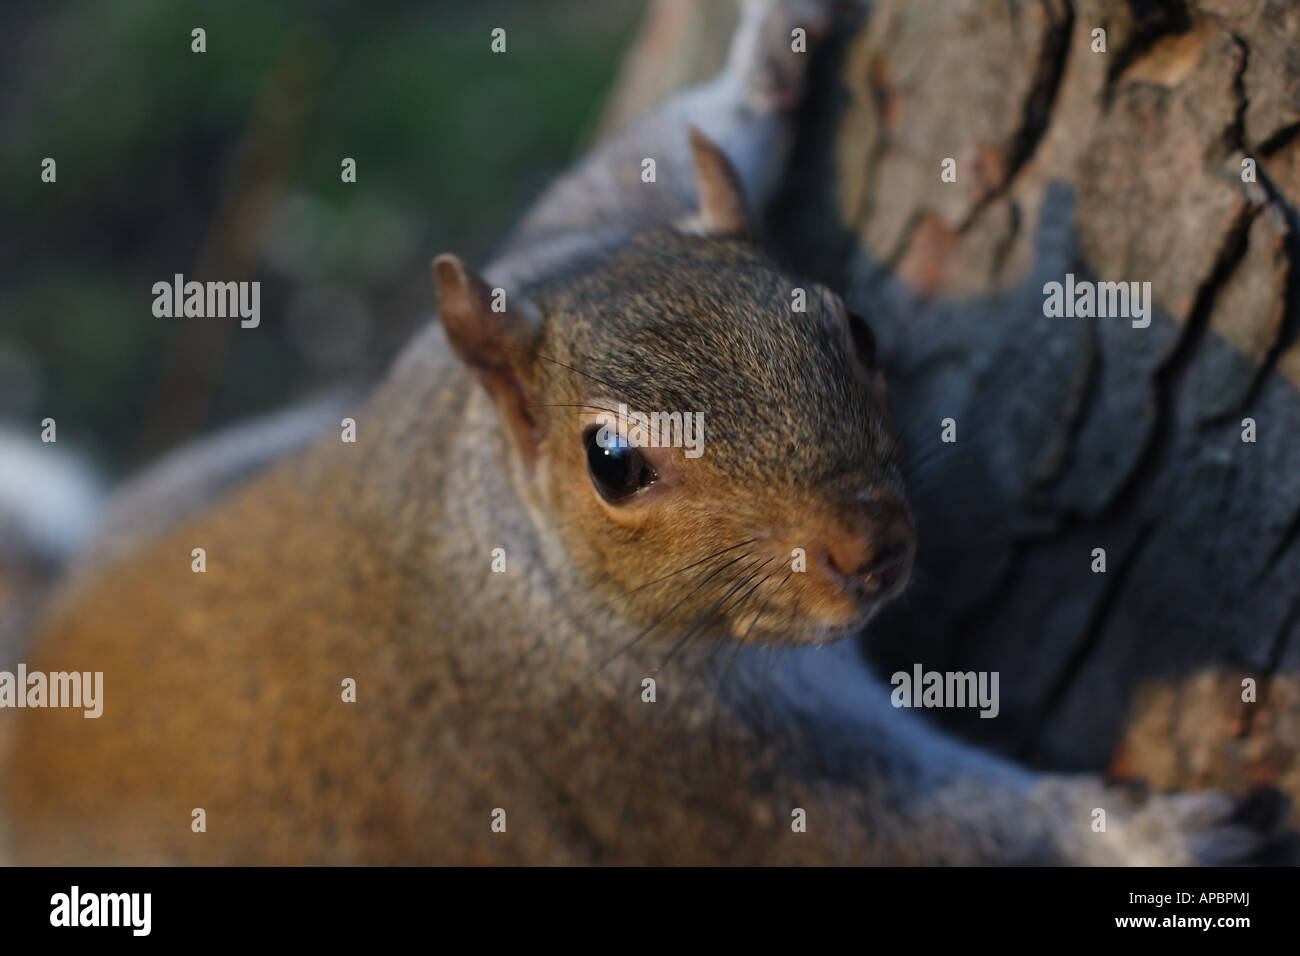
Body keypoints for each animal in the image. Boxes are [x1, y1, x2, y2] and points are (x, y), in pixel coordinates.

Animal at [0, 0, 1289, 868]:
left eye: (854, 324)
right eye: (612, 463)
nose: (868, 544)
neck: (500, 538)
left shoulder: (557, 247)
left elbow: (642, 155)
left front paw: (766, 55)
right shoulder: (677, 767)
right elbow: (906, 827)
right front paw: (1132, 828)